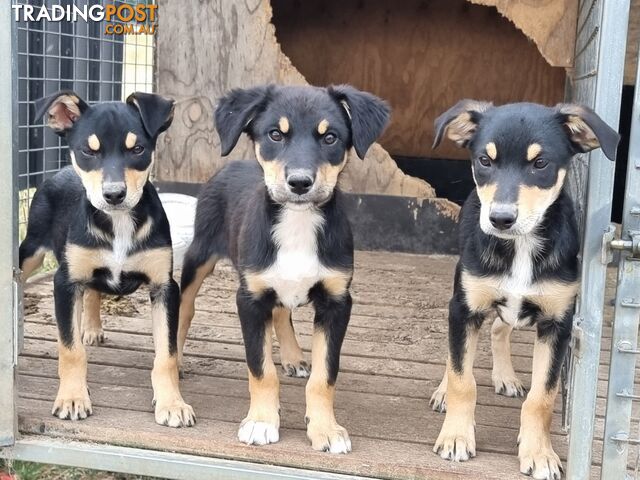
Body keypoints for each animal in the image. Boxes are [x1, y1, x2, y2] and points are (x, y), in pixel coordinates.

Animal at [20, 90, 195, 428]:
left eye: (138, 149)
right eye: (88, 151)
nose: (114, 195)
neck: (119, 223)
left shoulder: (165, 288)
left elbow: (166, 354)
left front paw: (172, 403)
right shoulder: (65, 281)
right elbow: (70, 349)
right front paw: (72, 398)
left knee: (93, 292)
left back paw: (91, 328)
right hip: (31, 250)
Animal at [180, 84, 390, 452]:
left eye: (330, 137)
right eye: (275, 134)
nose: (300, 182)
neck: (297, 222)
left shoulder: (337, 301)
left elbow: (324, 375)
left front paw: (325, 429)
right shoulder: (249, 299)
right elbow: (261, 369)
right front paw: (262, 422)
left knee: (281, 312)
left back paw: (293, 357)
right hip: (199, 255)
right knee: (184, 307)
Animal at [428, 99, 616, 478]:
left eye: (540, 163)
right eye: (484, 161)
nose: (500, 219)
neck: (521, 247)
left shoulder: (557, 325)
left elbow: (542, 398)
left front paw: (539, 452)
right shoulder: (464, 308)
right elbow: (461, 378)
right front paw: (456, 436)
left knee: (500, 329)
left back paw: (506, 376)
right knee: (458, 355)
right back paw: (444, 391)